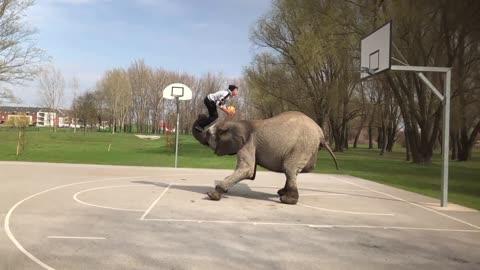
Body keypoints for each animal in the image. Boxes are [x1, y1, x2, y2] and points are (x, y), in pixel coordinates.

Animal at [191, 110, 338, 204]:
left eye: (208, 134)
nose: (202, 114)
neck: (240, 123)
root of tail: (320, 133)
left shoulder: (249, 143)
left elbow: (247, 170)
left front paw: (212, 195)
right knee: (291, 170)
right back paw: (281, 193)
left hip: (302, 146)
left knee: (289, 168)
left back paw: (287, 200)